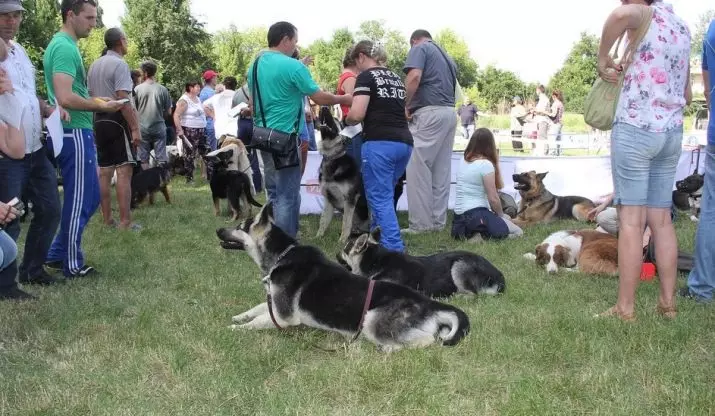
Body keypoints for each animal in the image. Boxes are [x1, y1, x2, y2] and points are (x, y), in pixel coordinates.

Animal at [215, 203, 472, 352]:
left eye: (239, 226)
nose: (217, 230)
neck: (282, 254)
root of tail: (430, 304)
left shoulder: (283, 316)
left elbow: (257, 322)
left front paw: (234, 328)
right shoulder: (275, 304)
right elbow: (257, 308)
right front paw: (239, 316)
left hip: (371, 320)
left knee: (428, 340)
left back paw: (389, 349)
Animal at [314, 105, 370, 242]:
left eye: (335, 119)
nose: (324, 107)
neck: (333, 158)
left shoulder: (350, 199)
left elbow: (345, 222)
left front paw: (342, 240)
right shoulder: (328, 199)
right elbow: (323, 220)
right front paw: (318, 237)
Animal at [338, 228, 506, 300]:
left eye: (344, 249)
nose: (336, 255)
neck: (376, 261)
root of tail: (500, 277)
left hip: (459, 266)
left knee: (473, 294)